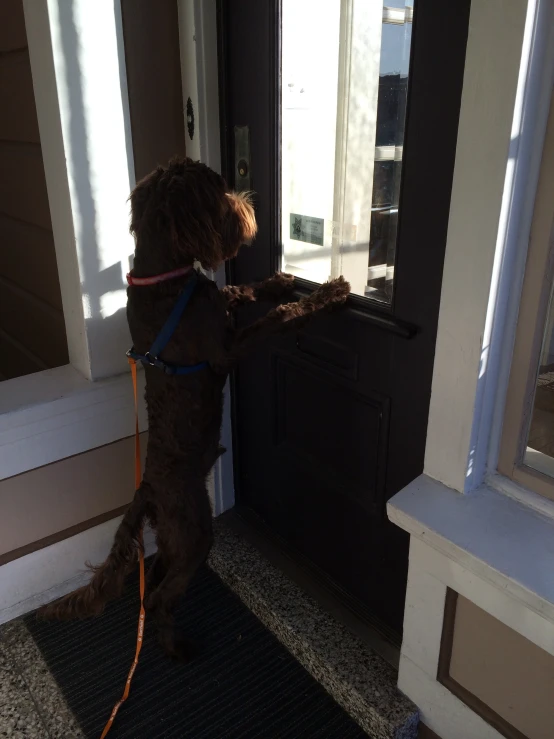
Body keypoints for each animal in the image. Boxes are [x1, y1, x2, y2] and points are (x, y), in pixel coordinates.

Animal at [40, 156, 350, 660]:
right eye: (218, 191)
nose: (247, 204)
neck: (164, 281)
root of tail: (147, 488)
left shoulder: (217, 298)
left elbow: (243, 289)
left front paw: (281, 278)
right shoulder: (224, 348)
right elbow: (277, 317)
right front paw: (330, 292)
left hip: (172, 536)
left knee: (153, 579)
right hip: (193, 532)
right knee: (158, 595)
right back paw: (175, 645)